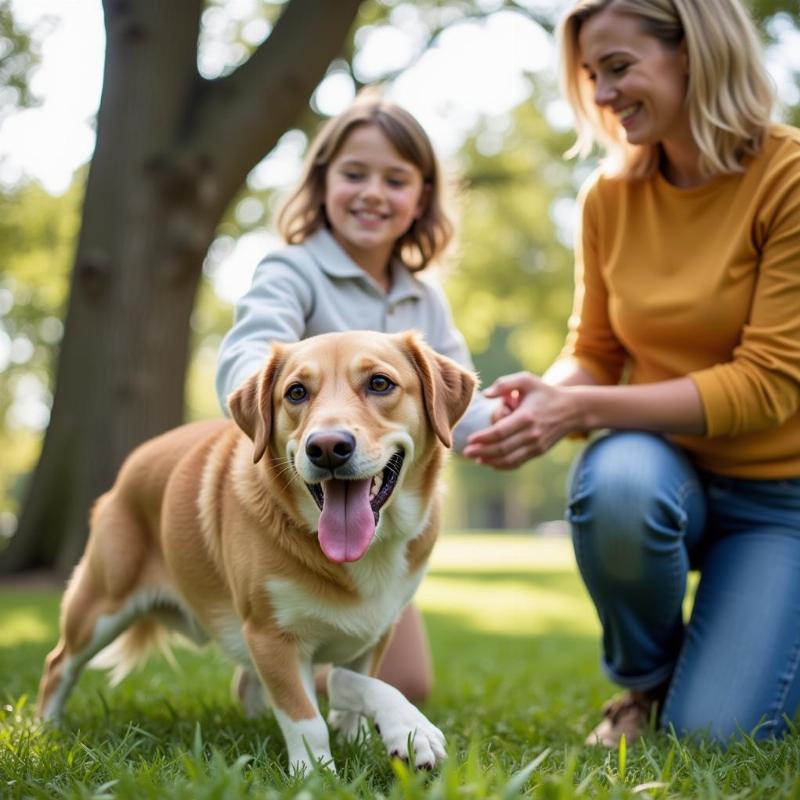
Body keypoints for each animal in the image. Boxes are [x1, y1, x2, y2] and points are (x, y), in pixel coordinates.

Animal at [37, 328, 476, 772]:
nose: (327, 447)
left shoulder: (375, 633)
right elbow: (308, 716)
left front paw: (386, 733)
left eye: (380, 383)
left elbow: (352, 683)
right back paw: (46, 731)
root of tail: (129, 468)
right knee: (58, 664)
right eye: (296, 392)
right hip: (99, 609)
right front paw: (316, 772)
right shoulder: (270, 636)